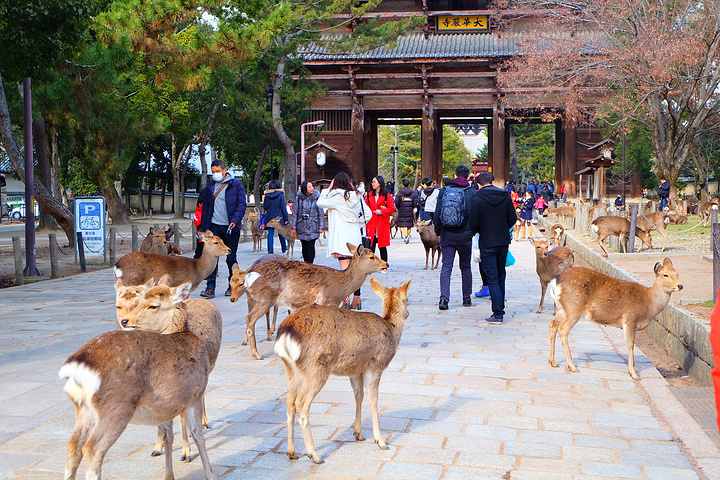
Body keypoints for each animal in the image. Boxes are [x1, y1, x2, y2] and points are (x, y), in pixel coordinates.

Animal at [60, 282, 218, 480]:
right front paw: (211, 475)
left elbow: (168, 436)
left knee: (73, 446)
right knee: (92, 449)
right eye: (140, 301)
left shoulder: (165, 405)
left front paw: (169, 474)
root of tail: (77, 366)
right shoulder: (196, 393)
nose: (126, 321)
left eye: (153, 305)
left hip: (83, 409)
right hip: (116, 407)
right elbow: (198, 435)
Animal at [231, 244, 388, 360]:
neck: (341, 286)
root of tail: (249, 274)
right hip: (266, 298)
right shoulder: (327, 300)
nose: (386, 264)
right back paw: (257, 354)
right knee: (250, 318)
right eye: (372, 256)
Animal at [274, 280, 410, 464]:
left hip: (292, 369)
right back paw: (314, 455)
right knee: (301, 403)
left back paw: (292, 452)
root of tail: (286, 333)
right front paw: (381, 441)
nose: (408, 313)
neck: (391, 329)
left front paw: (358, 434)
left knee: (289, 402)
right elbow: (373, 399)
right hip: (316, 367)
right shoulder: (376, 364)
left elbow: (358, 396)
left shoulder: (356, 370)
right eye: (407, 299)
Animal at [548, 258, 684, 378]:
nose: (680, 286)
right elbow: (630, 345)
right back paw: (572, 366)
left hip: (563, 309)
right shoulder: (630, 319)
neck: (649, 304)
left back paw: (553, 362)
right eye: (665, 275)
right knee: (563, 329)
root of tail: (555, 281)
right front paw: (634, 374)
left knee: (553, 325)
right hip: (574, 308)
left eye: (677, 274)